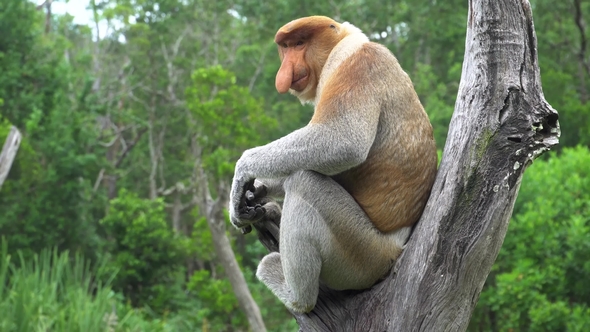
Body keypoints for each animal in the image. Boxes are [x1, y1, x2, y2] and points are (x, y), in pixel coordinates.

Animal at [230, 15, 440, 312]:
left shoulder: (357, 65)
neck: (342, 44)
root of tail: (396, 250)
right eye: (285, 47)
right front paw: (251, 194)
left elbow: (342, 141)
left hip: (362, 253)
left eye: (299, 43)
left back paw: (296, 296)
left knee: (305, 182)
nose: (284, 72)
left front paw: (242, 172)